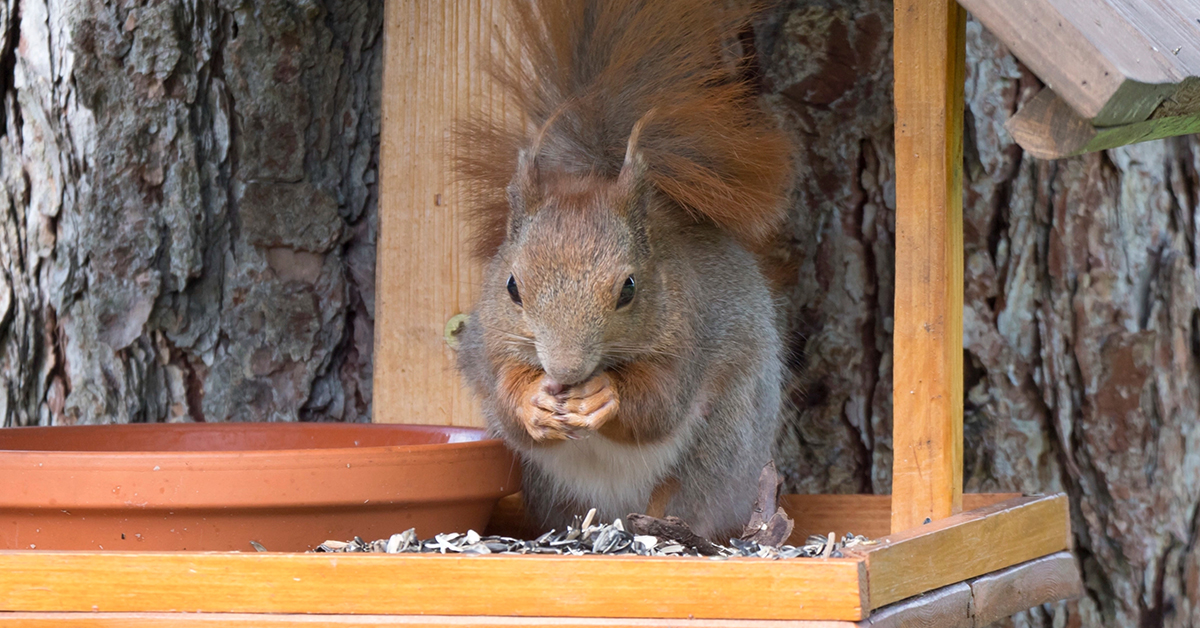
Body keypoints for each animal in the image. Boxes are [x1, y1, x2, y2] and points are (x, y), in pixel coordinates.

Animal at [454, 0, 793, 541]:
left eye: (629, 288)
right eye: (512, 287)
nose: (565, 370)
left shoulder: (688, 332)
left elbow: (659, 404)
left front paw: (602, 395)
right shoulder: (488, 343)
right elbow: (505, 397)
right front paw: (533, 402)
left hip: (716, 452)